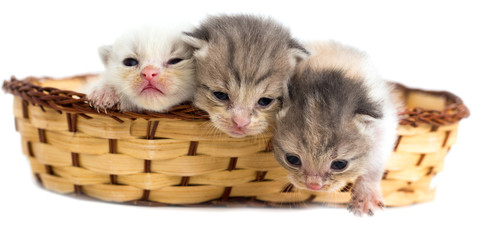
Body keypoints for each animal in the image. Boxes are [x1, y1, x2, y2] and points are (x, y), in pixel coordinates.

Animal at [274, 40, 398, 217]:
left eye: (339, 164)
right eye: (292, 159)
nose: (314, 186)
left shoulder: (385, 122)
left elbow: (376, 159)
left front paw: (366, 195)